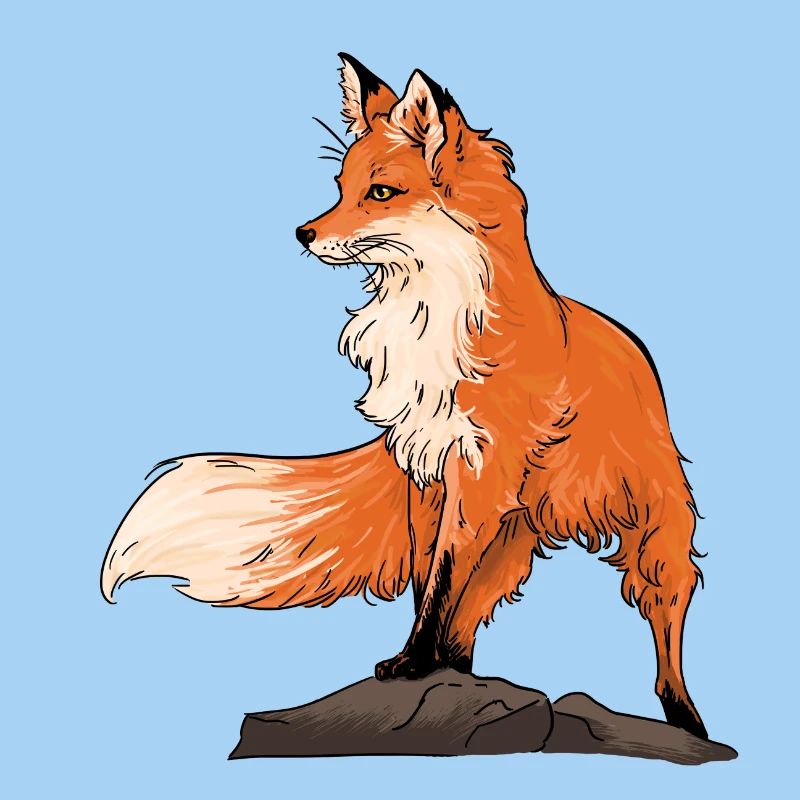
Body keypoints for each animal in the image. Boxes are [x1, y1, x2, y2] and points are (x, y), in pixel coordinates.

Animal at [101, 54, 709, 740]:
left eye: (381, 193)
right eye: (340, 185)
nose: (302, 233)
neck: (428, 320)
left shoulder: (476, 475)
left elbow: (440, 583)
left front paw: (415, 664)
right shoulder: (426, 469)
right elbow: (429, 586)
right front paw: (419, 666)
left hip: (654, 524)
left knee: (664, 617)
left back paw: (686, 717)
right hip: (511, 535)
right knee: (471, 617)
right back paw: (462, 671)